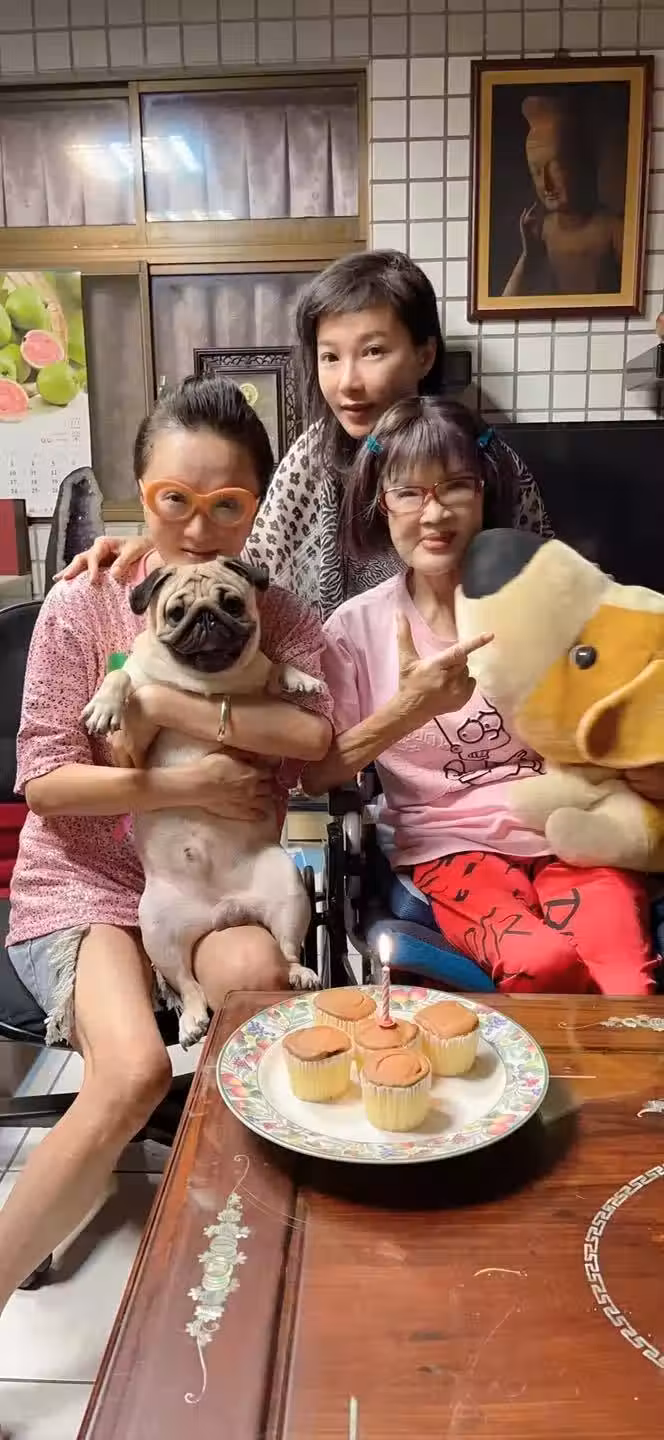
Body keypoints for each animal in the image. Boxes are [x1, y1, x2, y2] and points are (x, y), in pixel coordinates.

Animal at [82, 557, 323, 1047]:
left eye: (231, 603)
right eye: (176, 613)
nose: (207, 619)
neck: (204, 684)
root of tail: (220, 912)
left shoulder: (263, 740)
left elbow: (275, 669)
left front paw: (301, 678)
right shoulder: (128, 751)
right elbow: (123, 678)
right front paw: (107, 703)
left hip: (289, 894)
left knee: (287, 949)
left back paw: (300, 973)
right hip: (158, 931)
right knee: (187, 984)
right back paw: (192, 1020)